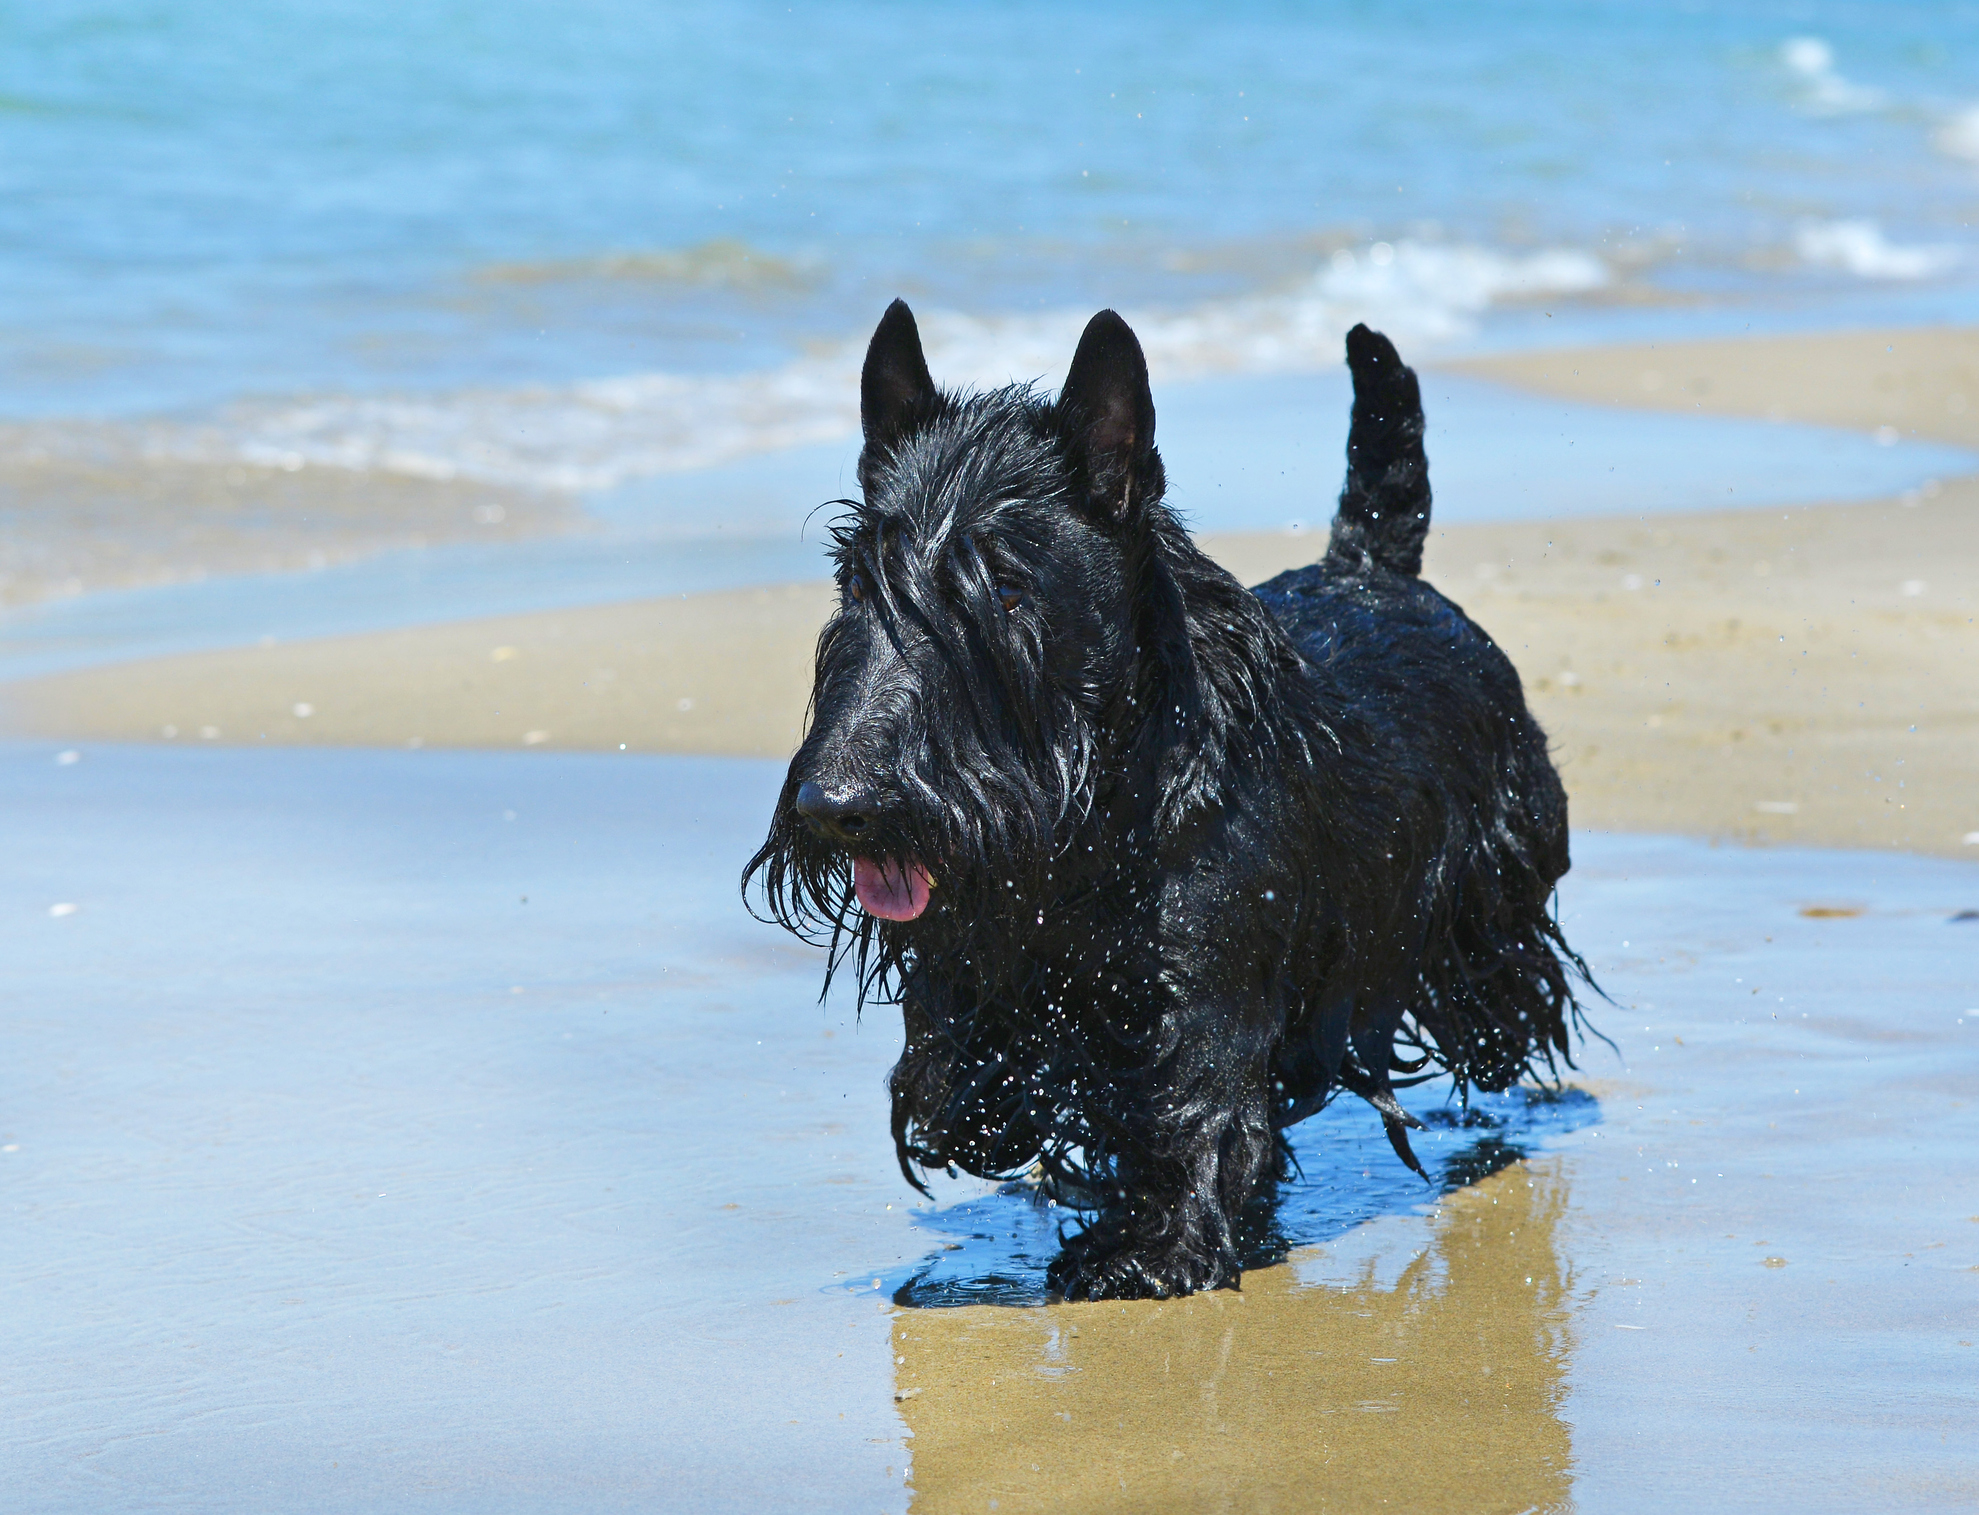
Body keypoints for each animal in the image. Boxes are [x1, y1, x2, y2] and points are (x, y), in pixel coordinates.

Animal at [744, 302, 1591, 1297]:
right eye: (853, 581)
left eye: (1006, 588)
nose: (837, 804)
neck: (1102, 809)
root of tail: (1375, 567)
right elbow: (969, 1070)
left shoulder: (1203, 989)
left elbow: (1197, 1109)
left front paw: (1144, 1249)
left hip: (1486, 909)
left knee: (1504, 1008)